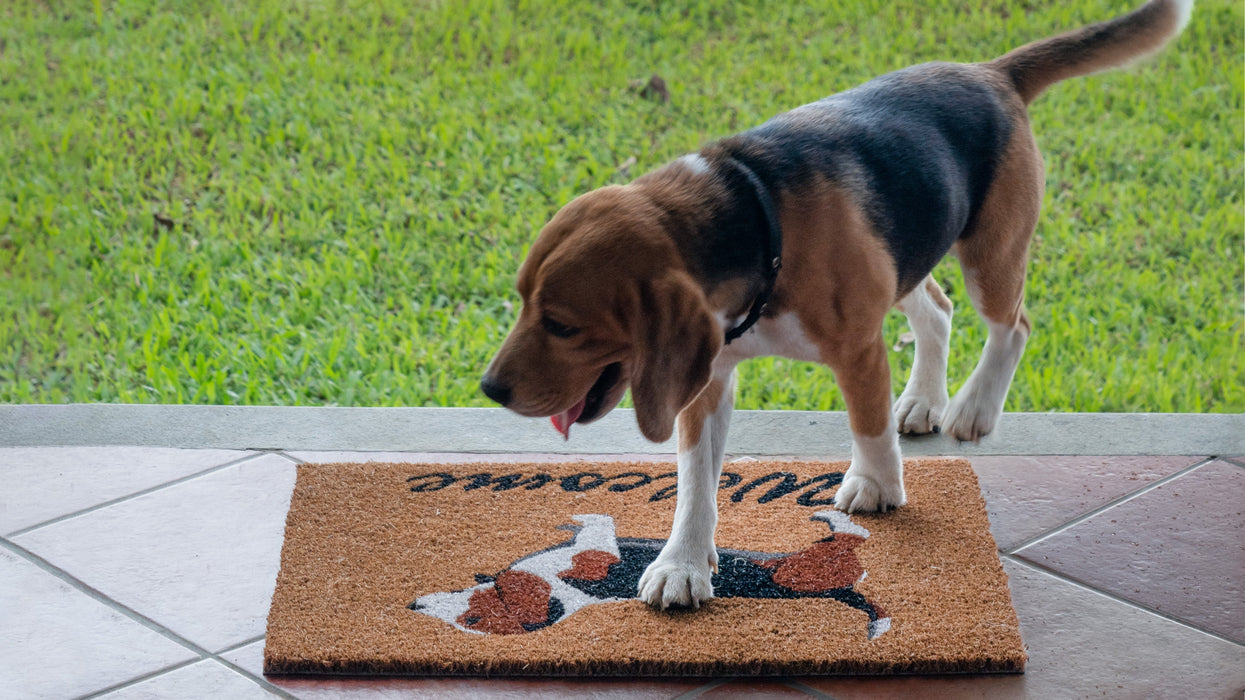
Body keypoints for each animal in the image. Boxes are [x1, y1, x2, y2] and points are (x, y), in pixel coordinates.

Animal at [475, 0, 1185, 607]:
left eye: (563, 325)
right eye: (520, 300)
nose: (489, 390)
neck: (755, 214)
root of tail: (991, 73)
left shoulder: (858, 349)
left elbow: (866, 425)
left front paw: (875, 486)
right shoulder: (707, 376)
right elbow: (695, 479)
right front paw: (682, 563)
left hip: (991, 254)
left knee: (1011, 325)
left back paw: (973, 408)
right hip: (910, 260)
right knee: (938, 311)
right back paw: (924, 400)